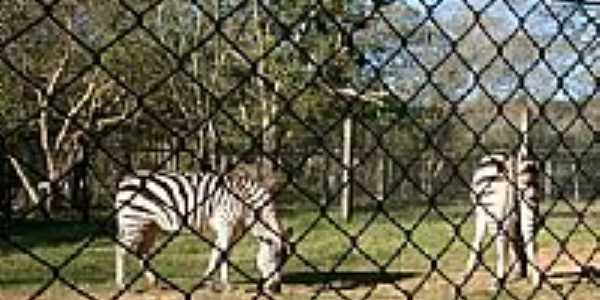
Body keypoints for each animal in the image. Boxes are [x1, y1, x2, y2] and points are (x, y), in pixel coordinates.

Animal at [115, 169, 290, 292]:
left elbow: (216, 253)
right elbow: (223, 254)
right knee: (121, 249)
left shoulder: (231, 230)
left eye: (284, 262)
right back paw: (121, 284)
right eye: (274, 258)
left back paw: (152, 280)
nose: (276, 288)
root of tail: (126, 179)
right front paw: (227, 285)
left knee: (142, 251)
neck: (246, 203)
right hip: (133, 221)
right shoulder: (225, 225)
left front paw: (207, 281)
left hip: (150, 225)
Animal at [464, 154, 544, 290]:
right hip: (529, 202)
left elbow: (478, 239)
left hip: (494, 208)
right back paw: (536, 281)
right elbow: (513, 241)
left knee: (501, 244)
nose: (523, 274)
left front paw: (467, 272)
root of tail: (511, 161)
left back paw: (498, 281)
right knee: (530, 240)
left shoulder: (481, 212)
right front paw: (517, 273)